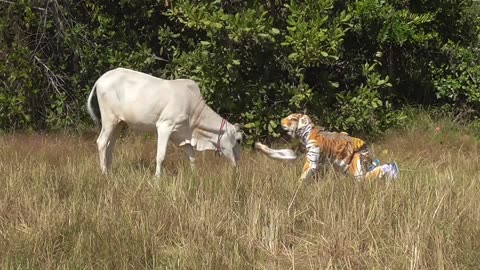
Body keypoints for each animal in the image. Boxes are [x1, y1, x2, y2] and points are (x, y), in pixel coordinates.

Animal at [86, 67, 242, 176]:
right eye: (239, 140)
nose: (238, 162)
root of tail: (101, 79)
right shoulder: (164, 126)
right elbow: (160, 156)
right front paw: (157, 178)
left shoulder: (181, 135)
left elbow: (192, 156)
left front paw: (194, 175)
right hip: (109, 119)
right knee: (101, 142)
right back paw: (104, 173)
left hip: (119, 123)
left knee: (110, 145)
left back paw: (110, 171)